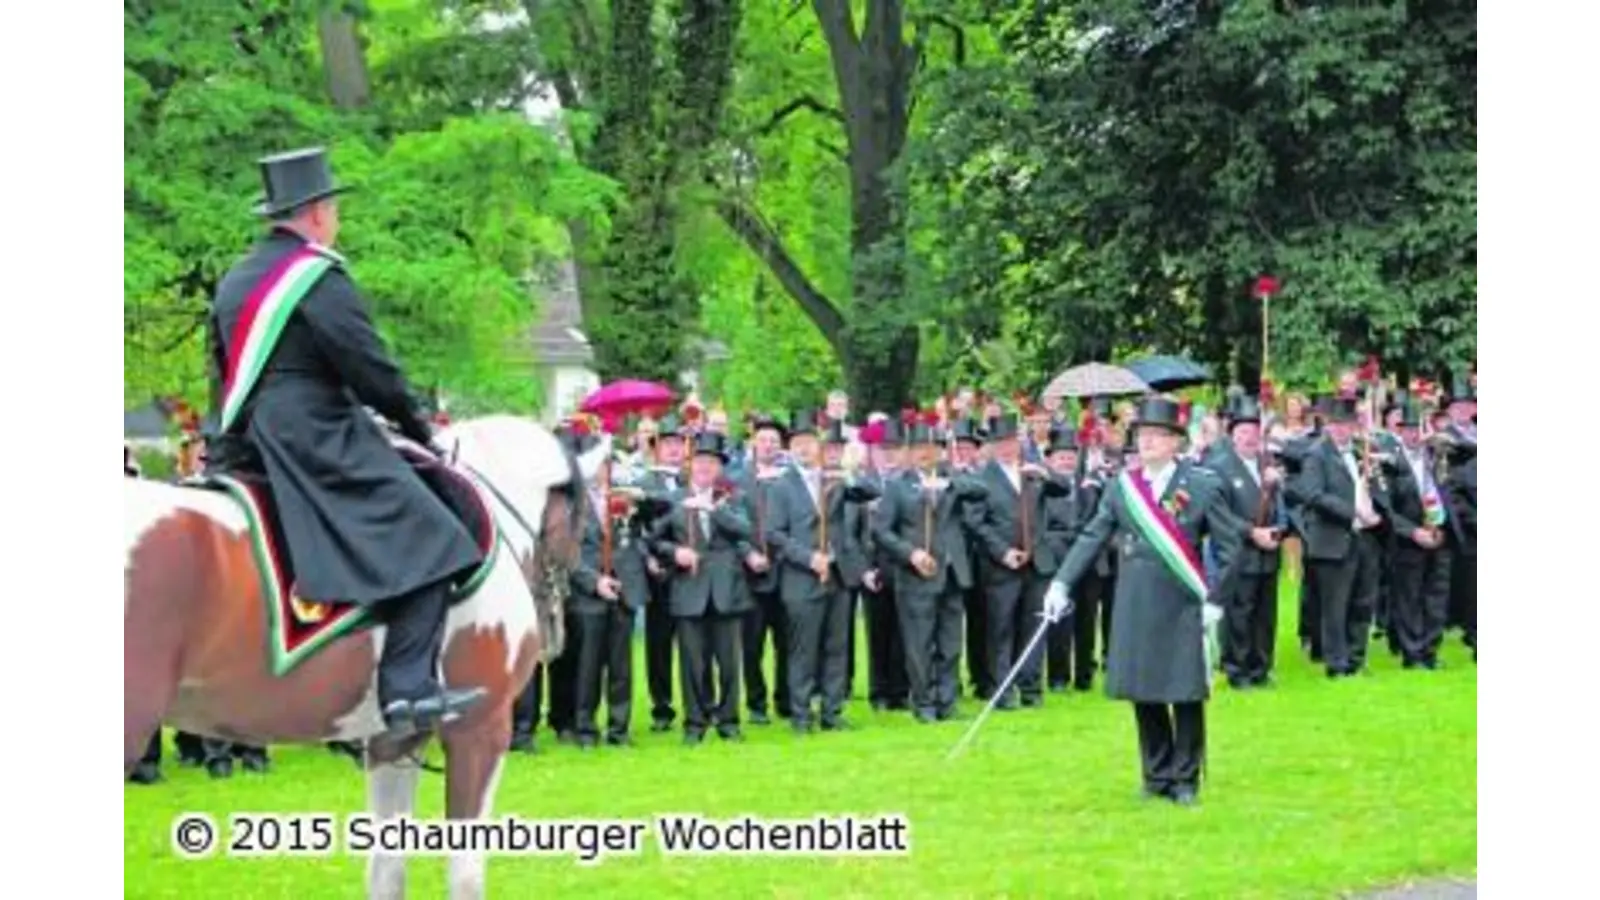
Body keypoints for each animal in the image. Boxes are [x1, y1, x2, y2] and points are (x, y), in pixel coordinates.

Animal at [124, 416, 604, 890]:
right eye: (583, 521)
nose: (556, 630)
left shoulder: (393, 739)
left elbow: (386, 868)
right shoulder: (479, 730)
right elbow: (464, 874)